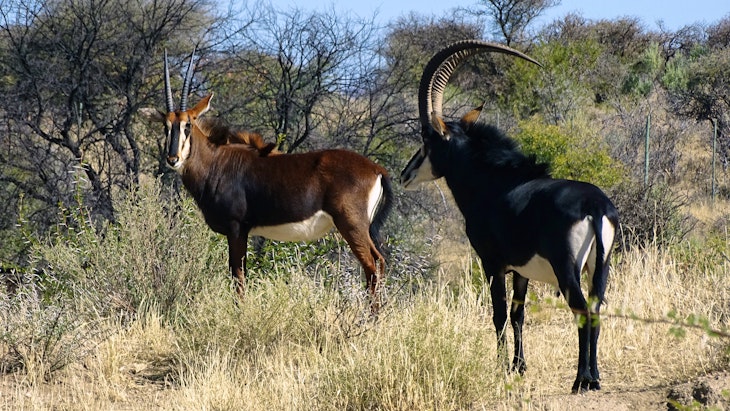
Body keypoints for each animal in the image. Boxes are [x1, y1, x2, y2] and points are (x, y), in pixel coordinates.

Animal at [140, 50, 394, 309]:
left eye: (188, 125)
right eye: (166, 126)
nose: (173, 159)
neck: (216, 161)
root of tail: (376, 169)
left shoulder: (237, 228)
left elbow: (238, 276)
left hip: (352, 225)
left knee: (372, 266)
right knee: (378, 263)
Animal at [400, 40, 619, 393]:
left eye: (426, 140)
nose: (405, 175)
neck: (494, 181)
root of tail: (596, 207)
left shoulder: (492, 263)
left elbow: (499, 314)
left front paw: (501, 367)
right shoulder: (521, 270)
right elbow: (518, 314)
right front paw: (519, 366)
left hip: (566, 269)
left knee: (581, 310)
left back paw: (580, 380)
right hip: (600, 267)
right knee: (596, 309)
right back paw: (596, 377)